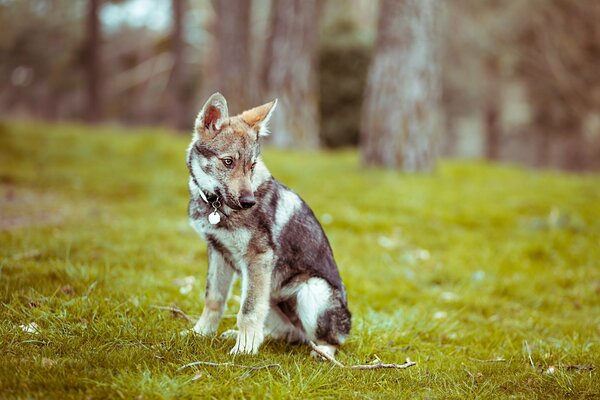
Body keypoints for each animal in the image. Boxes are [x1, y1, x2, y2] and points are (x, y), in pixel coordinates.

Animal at [185, 93, 350, 356]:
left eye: (251, 166)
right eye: (228, 162)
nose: (248, 201)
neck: (216, 207)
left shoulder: (258, 257)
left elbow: (248, 310)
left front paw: (243, 350)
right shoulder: (218, 252)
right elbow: (214, 299)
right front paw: (200, 333)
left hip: (311, 290)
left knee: (333, 340)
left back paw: (323, 353)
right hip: (271, 296)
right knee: (286, 333)